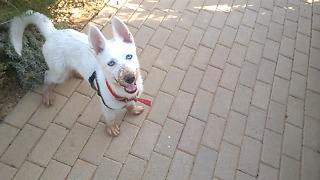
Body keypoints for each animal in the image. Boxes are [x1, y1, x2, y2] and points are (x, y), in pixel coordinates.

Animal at [9, 10, 150, 136]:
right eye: (111, 63)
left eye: (129, 56)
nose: (130, 78)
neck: (121, 92)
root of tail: (53, 33)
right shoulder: (106, 107)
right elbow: (110, 119)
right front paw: (111, 129)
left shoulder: (131, 96)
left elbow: (131, 105)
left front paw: (133, 110)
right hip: (59, 74)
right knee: (47, 75)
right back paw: (47, 95)